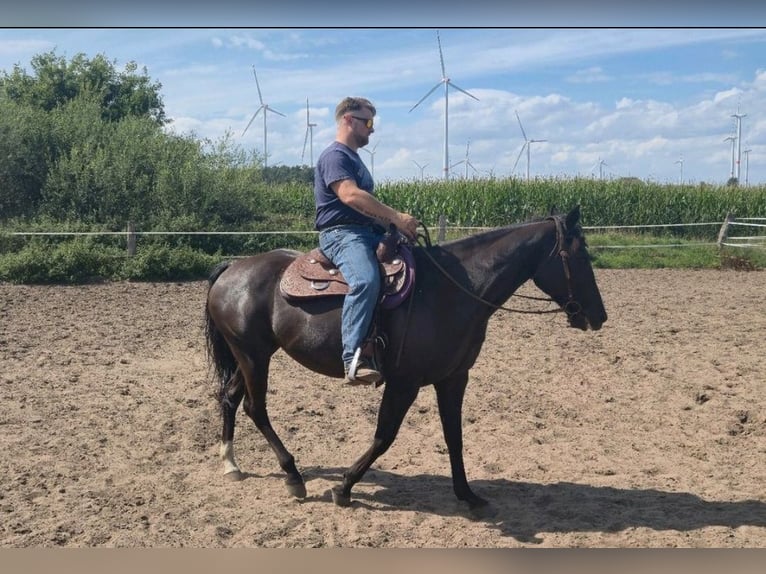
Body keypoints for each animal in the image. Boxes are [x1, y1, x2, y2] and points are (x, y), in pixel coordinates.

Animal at [204, 206, 607, 513]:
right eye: (579, 256)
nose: (598, 316)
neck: (453, 289)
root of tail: (232, 268)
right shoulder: (404, 382)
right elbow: (385, 436)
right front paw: (345, 488)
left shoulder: (453, 378)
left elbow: (454, 435)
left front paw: (468, 494)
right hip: (253, 356)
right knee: (255, 407)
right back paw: (293, 476)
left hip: (251, 355)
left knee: (230, 397)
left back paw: (231, 464)